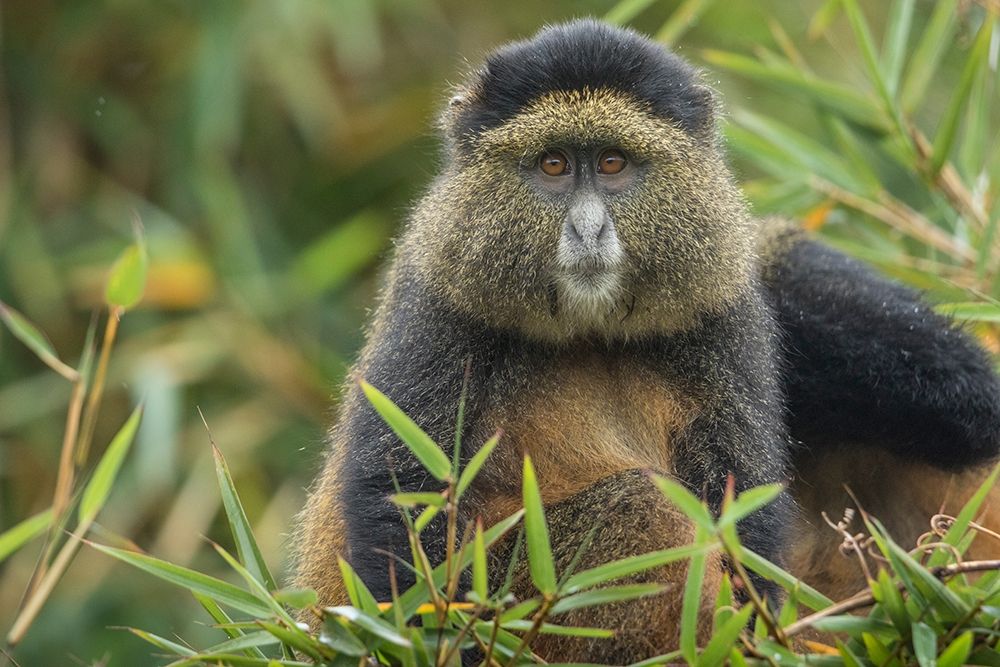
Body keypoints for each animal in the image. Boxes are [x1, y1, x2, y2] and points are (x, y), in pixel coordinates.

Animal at [293, 20, 1000, 661]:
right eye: (553, 165)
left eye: (613, 164)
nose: (587, 228)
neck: (588, 330)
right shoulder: (439, 300)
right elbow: (404, 497)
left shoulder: (725, 310)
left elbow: (741, 497)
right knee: (634, 507)